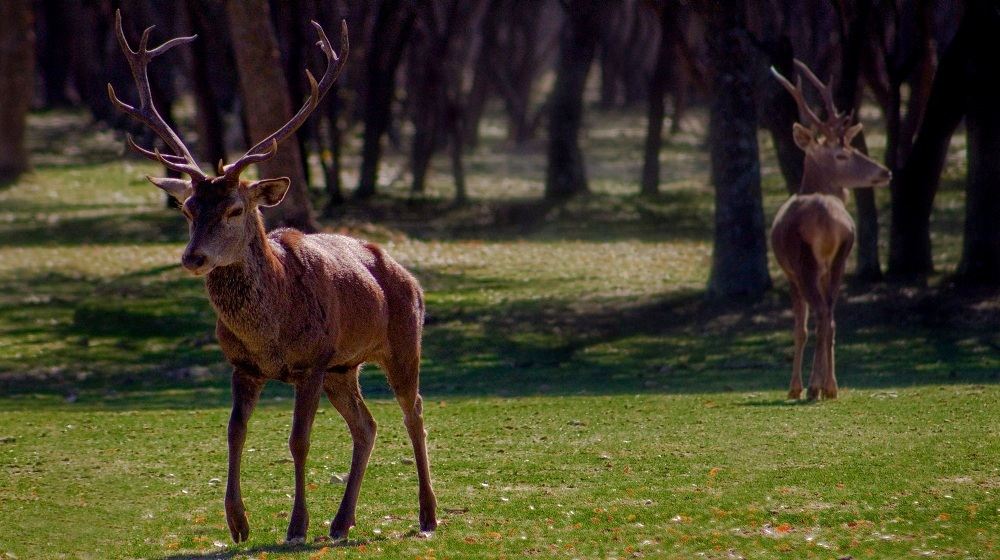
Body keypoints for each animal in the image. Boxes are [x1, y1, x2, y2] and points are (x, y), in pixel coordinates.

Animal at [107, 11, 436, 544]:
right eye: (188, 207)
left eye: (235, 209)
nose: (193, 257)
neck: (271, 336)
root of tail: (407, 274)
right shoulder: (243, 366)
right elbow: (233, 433)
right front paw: (238, 522)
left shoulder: (313, 360)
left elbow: (298, 440)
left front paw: (296, 526)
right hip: (346, 368)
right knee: (366, 426)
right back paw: (341, 523)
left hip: (402, 342)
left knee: (415, 413)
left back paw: (427, 515)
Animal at [769, 60, 892, 401]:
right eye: (842, 154)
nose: (885, 172)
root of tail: (830, 221)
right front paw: (821, 383)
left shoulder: (790, 273)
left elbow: (800, 327)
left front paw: (795, 387)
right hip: (840, 259)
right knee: (832, 316)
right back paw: (831, 386)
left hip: (805, 262)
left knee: (821, 315)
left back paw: (813, 387)